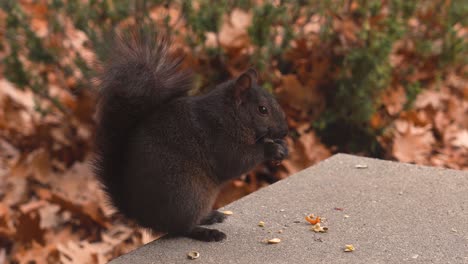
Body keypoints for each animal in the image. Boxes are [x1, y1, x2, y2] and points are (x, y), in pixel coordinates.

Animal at [93, 32, 288, 241]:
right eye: (262, 109)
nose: (285, 131)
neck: (229, 114)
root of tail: (142, 214)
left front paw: (282, 147)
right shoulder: (217, 138)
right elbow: (236, 161)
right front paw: (270, 149)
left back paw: (211, 216)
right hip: (187, 194)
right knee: (180, 228)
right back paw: (206, 233)